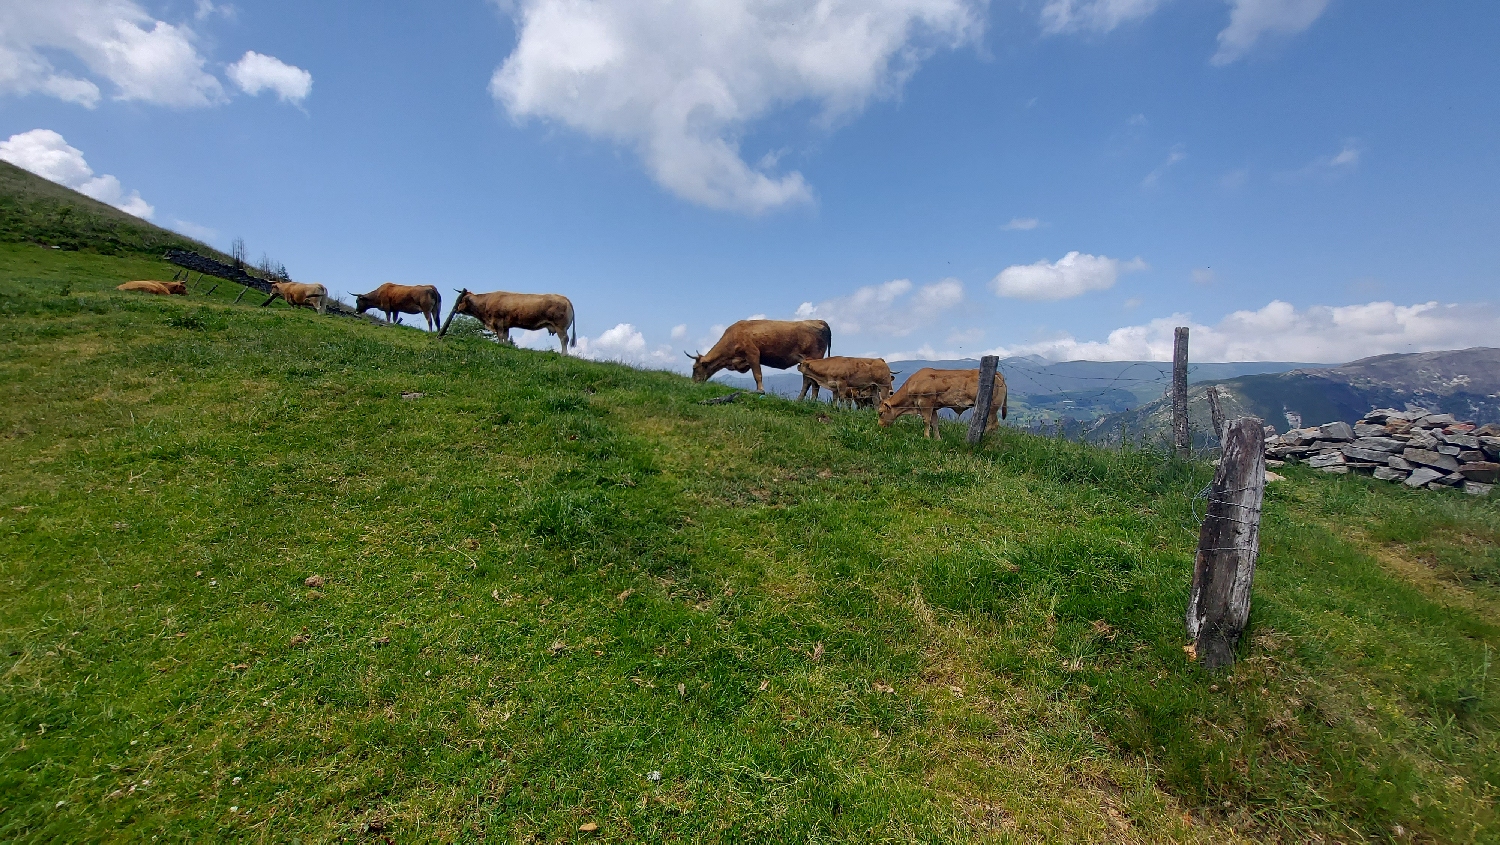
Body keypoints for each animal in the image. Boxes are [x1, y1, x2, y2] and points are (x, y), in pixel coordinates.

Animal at [438, 288, 579, 354]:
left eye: (461, 300)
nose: (455, 308)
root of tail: (564, 298)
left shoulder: (498, 322)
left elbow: (500, 336)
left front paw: (500, 344)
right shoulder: (505, 325)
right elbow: (506, 336)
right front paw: (506, 345)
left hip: (560, 327)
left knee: (564, 339)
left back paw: (564, 354)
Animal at [687, 319, 834, 399]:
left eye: (694, 368)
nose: (692, 383)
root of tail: (818, 321)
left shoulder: (753, 353)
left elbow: (757, 375)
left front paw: (759, 391)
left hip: (813, 359)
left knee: (812, 382)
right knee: (808, 381)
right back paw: (800, 401)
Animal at [876, 367, 1014, 441]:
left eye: (880, 413)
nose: (880, 426)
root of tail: (997, 374)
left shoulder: (926, 403)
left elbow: (926, 421)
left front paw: (926, 437)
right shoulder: (934, 407)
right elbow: (934, 423)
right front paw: (938, 439)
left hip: (992, 407)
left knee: (994, 425)